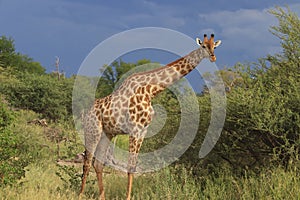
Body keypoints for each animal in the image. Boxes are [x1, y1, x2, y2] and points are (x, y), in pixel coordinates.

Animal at [79, 33, 220, 199]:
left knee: (98, 163)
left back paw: (102, 196)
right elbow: (130, 166)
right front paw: (128, 197)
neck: (150, 90)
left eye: (214, 46)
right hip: (93, 130)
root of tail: (86, 113)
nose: (213, 57)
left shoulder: (143, 130)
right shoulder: (135, 129)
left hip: (107, 133)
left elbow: (133, 166)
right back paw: (80, 194)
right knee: (87, 162)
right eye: (203, 46)